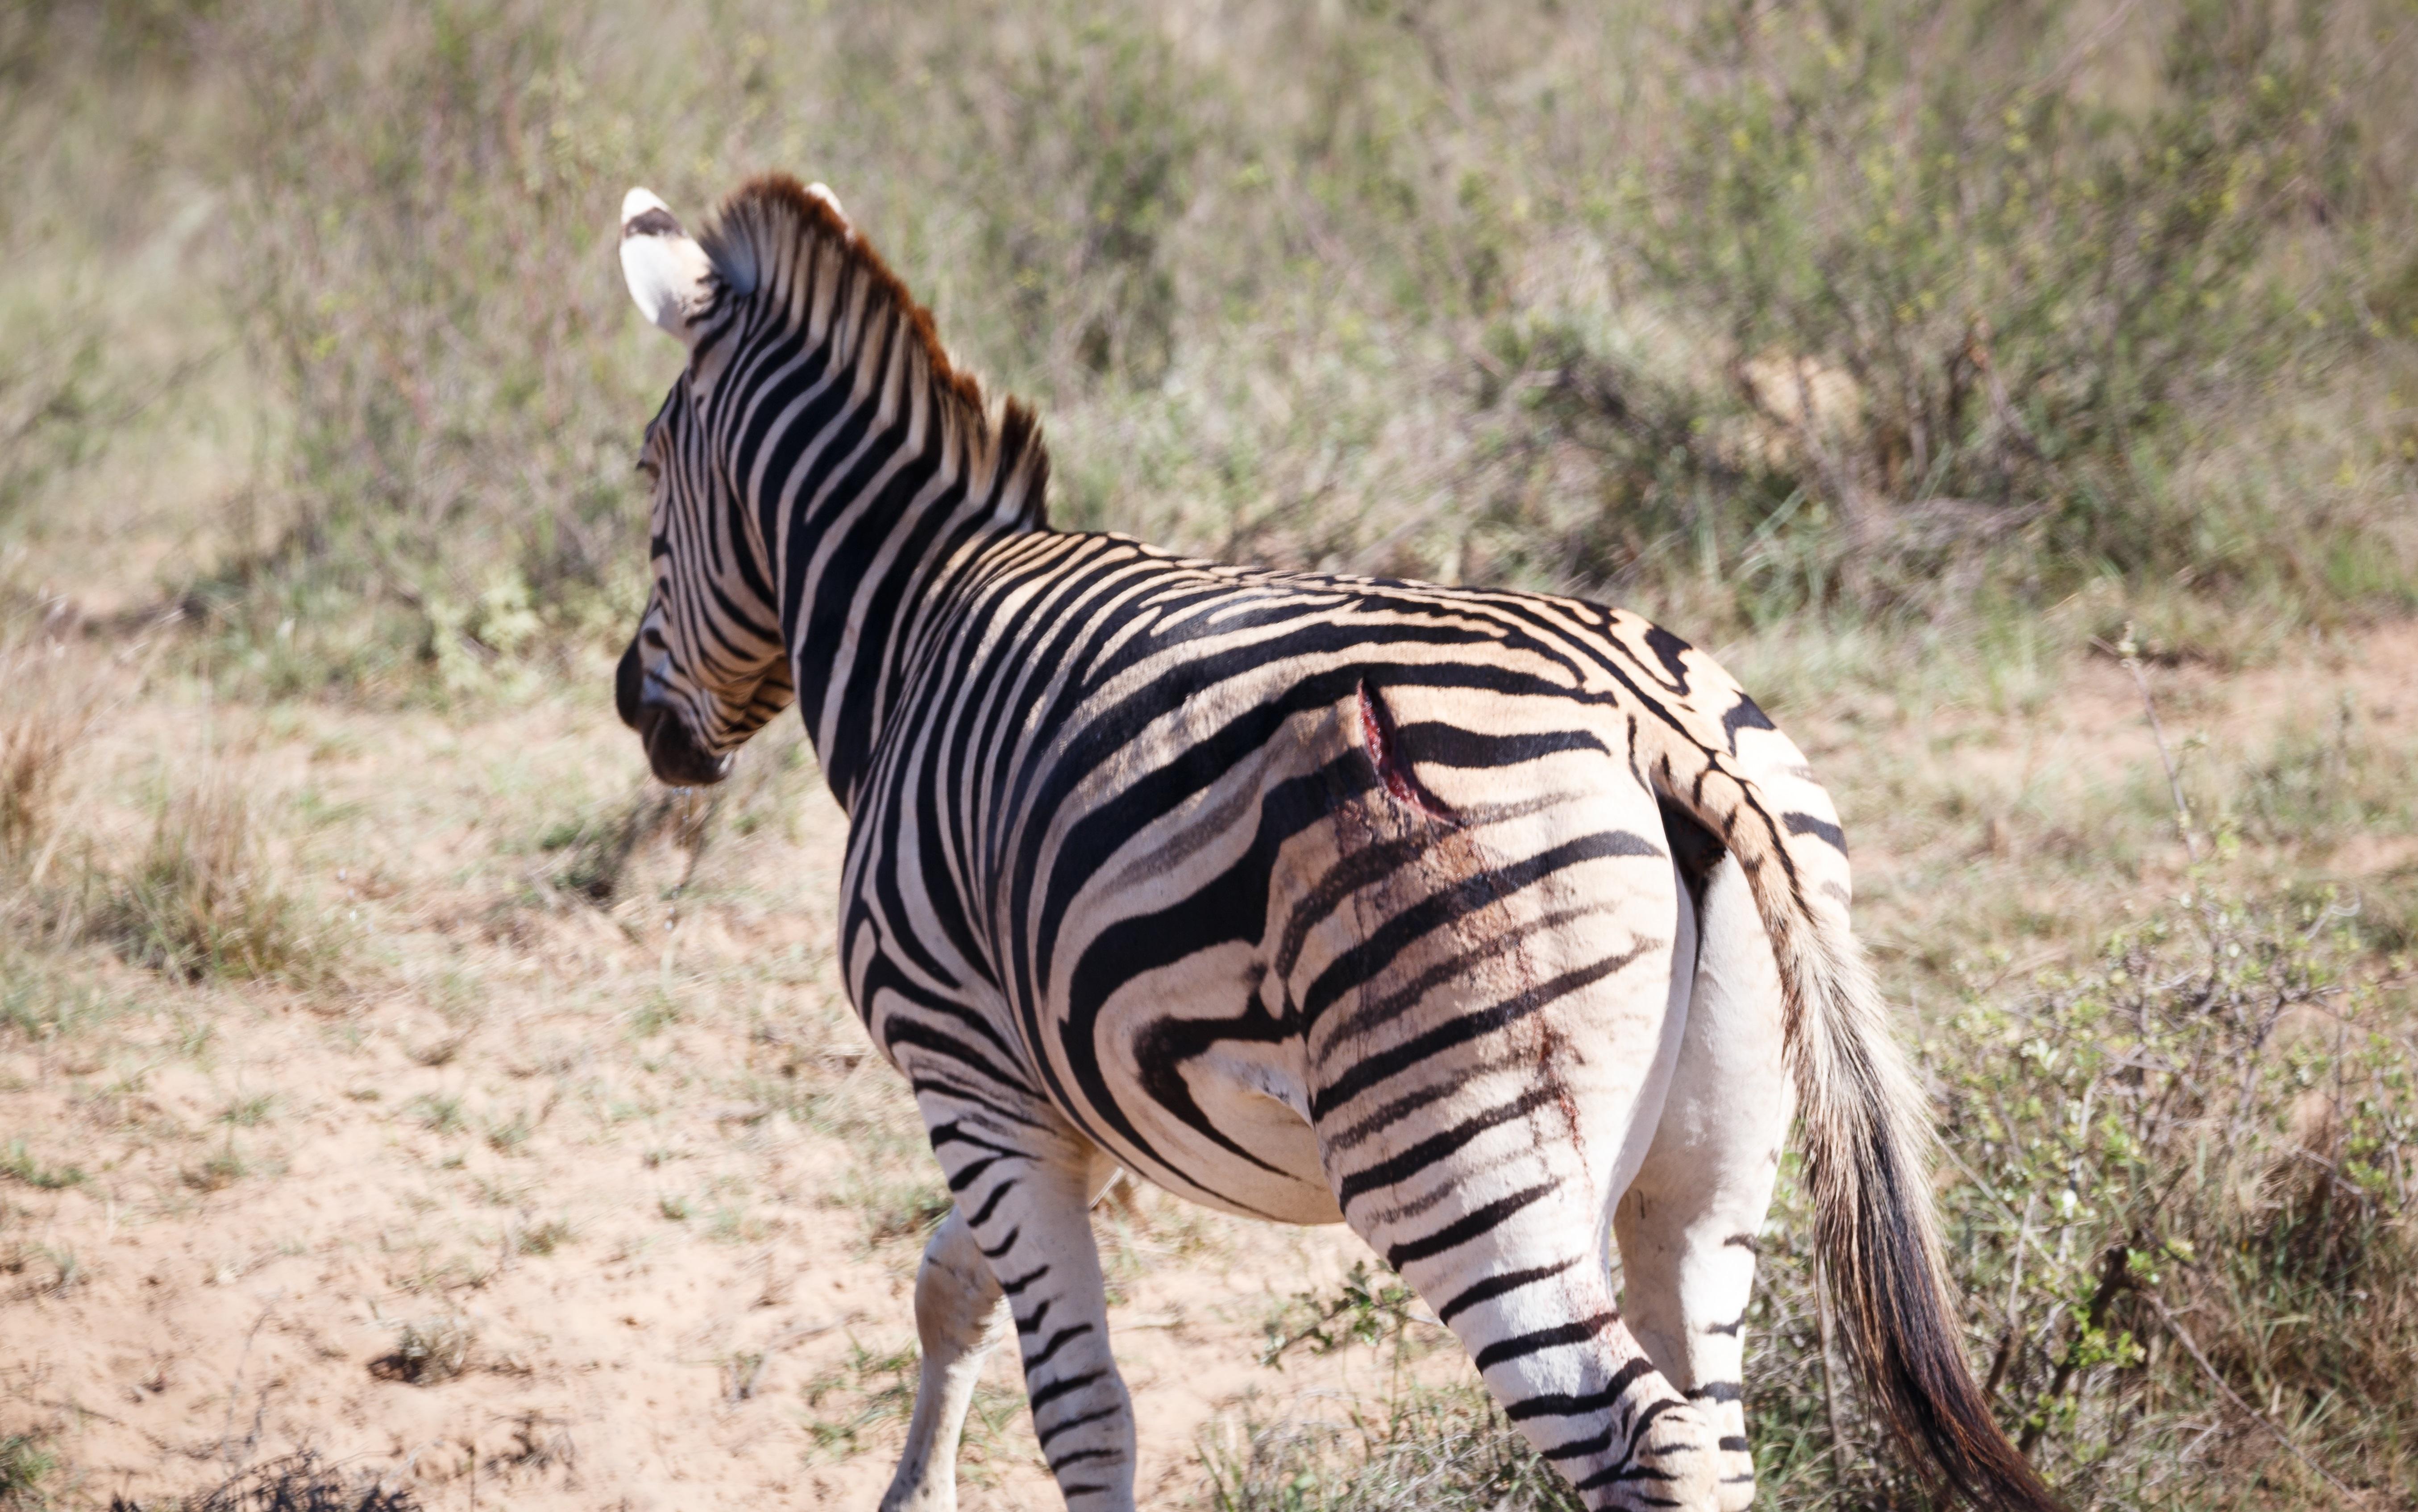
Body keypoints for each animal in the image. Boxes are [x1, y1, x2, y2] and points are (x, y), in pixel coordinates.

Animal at [609, 180, 2060, 1507]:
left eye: (644, 467)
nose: (633, 706)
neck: (917, 623)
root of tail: (1644, 712)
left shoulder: (967, 1069)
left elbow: (1081, 1409)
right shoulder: (1057, 1090)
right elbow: (948, 1286)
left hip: (1457, 1152)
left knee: (1645, 1439)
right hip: (1714, 1156)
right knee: (1714, 1425)